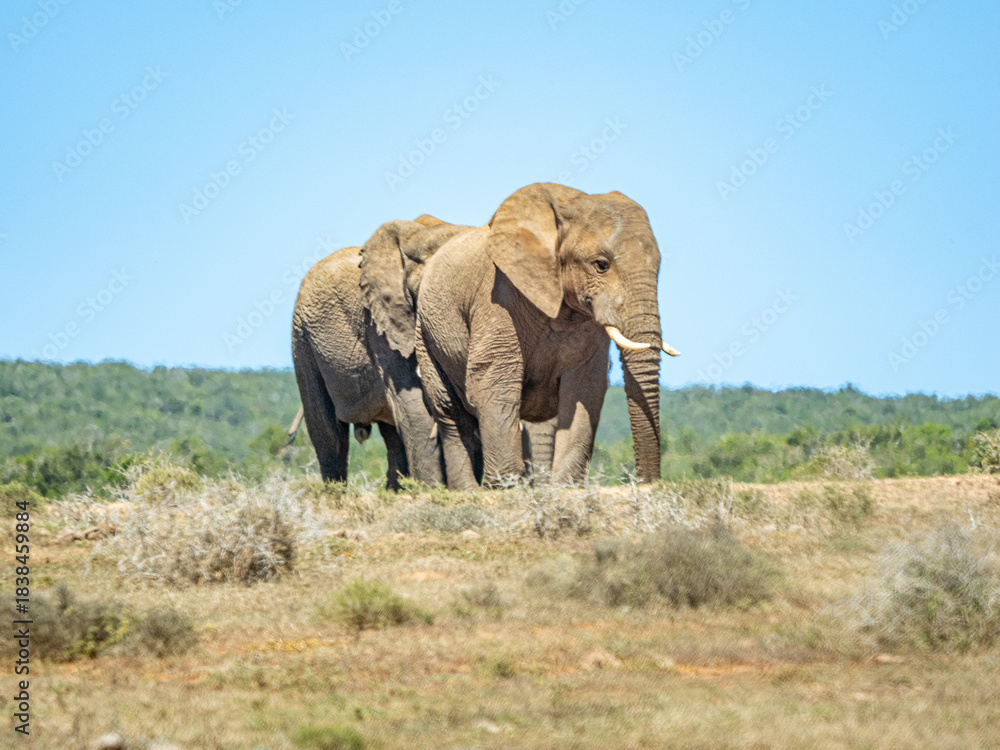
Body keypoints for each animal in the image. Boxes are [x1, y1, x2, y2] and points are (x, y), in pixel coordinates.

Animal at [291, 215, 470, 489]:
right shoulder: (379, 324)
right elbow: (413, 404)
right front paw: (431, 491)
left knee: (392, 435)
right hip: (302, 337)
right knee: (328, 432)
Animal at [414, 183, 679, 490]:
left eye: (658, 267)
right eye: (601, 264)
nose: (648, 483)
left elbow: (584, 388)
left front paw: (566, 487)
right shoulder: (497, 298)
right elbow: (493, 380)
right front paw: (505, 487)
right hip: (425, 329)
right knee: (449, 411)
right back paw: (468, 491)